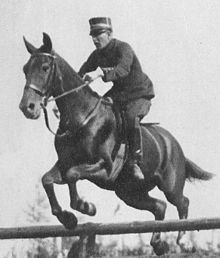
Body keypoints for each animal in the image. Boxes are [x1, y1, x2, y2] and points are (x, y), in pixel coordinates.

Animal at [19, 32, 215, 256]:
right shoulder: (64, 163)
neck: (82, 117)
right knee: (159, 206)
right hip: (128, 192)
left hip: (170, 184)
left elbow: (72, 175)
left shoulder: (104, 167)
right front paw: (68, 218)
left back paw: (183, 242)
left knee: (182, 202)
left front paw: (86, 206)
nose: (27, 107)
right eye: (25, 69)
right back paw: (158, 243)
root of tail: (173, 143)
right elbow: (48, 180)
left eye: (44, 67)